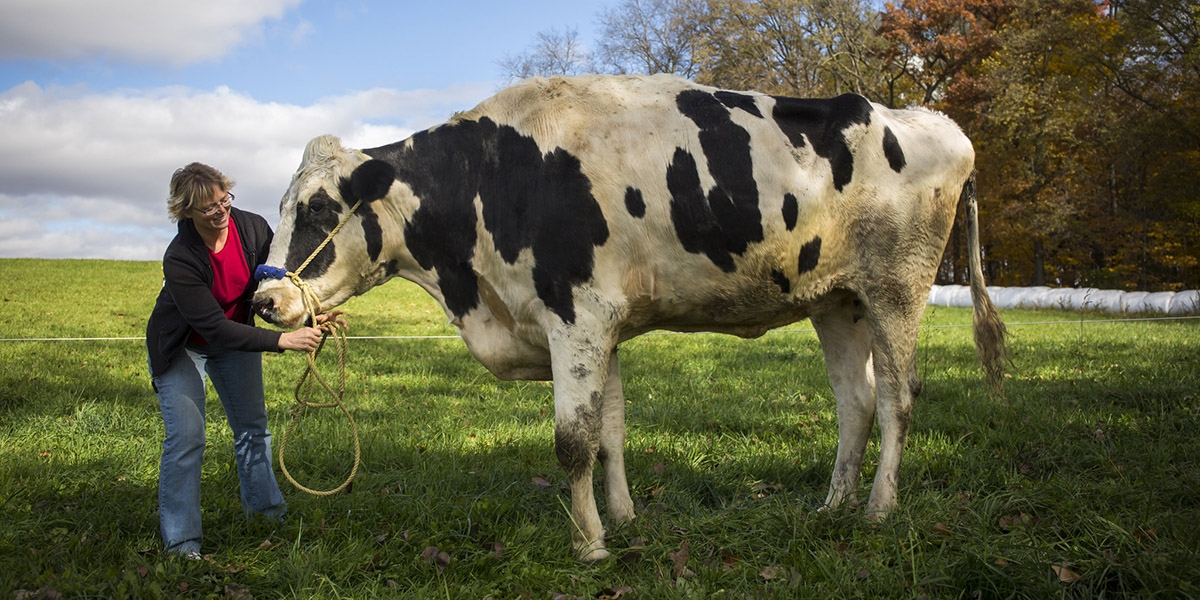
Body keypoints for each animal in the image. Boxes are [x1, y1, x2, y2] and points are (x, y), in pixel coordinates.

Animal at [255, 75, 1012, 561]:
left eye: (319, 207)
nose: (265, 302)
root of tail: (933, 121)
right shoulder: (604, 324)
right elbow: (610, 433)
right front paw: (621, 519)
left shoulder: (576, 315)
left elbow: (572, 440)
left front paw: (588, 546)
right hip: (837, 301)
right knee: (855, 402)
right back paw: (834, 507)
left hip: (896, 288)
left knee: (896, 398)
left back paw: (881, 509)